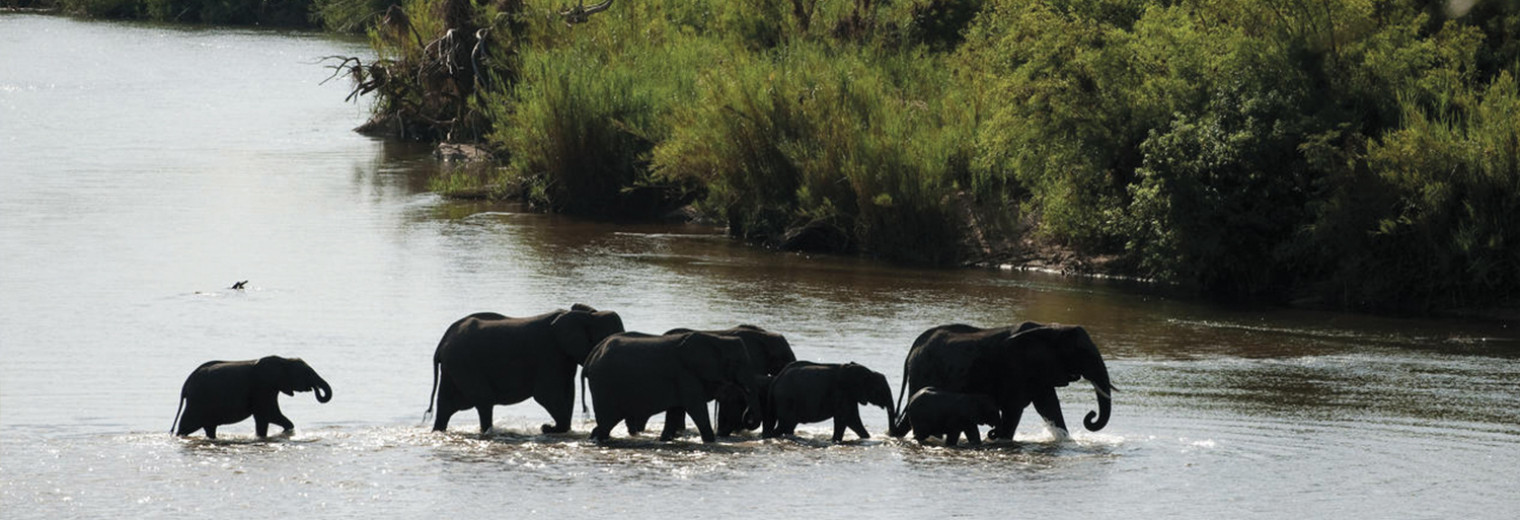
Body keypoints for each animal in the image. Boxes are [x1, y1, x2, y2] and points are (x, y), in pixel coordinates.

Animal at [174, 352, 335, 437]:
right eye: (307, 373)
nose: (315, 390)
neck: (284, 360)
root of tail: (185, 385)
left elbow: (268, 417)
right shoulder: (263, 387)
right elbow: (268, 415)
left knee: (209, 428)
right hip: (197, 402)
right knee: (186, 426)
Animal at [428, 304, 623, 434]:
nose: (545, 426)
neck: (588, 314)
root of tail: (442, 343)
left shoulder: (563, 357)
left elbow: (567, 393)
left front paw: (554, 429)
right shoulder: (550, 353)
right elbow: (548, 394)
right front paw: (551, 429)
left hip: (454, 366)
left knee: (445, 405)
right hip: (464, 363)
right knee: (484, 400)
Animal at [586, 332, 766, 443]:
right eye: (736, 362)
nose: (748, 417)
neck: (716, 339)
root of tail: (592, 355)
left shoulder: (682, 380)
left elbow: (675, 411)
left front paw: (665, 440)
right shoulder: (686, 375)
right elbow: (697, 409)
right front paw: (711, 442)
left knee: (605, 425)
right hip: (604, 387)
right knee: (606, 423)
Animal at [887, 322, 1118, 440]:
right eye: (1084, 353)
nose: (1090, 416)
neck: (1052, 329)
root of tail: (912, 349)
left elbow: (1049, 407)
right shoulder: (1016, 368)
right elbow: (1014, 408)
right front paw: (999, 439)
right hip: (924, 370)